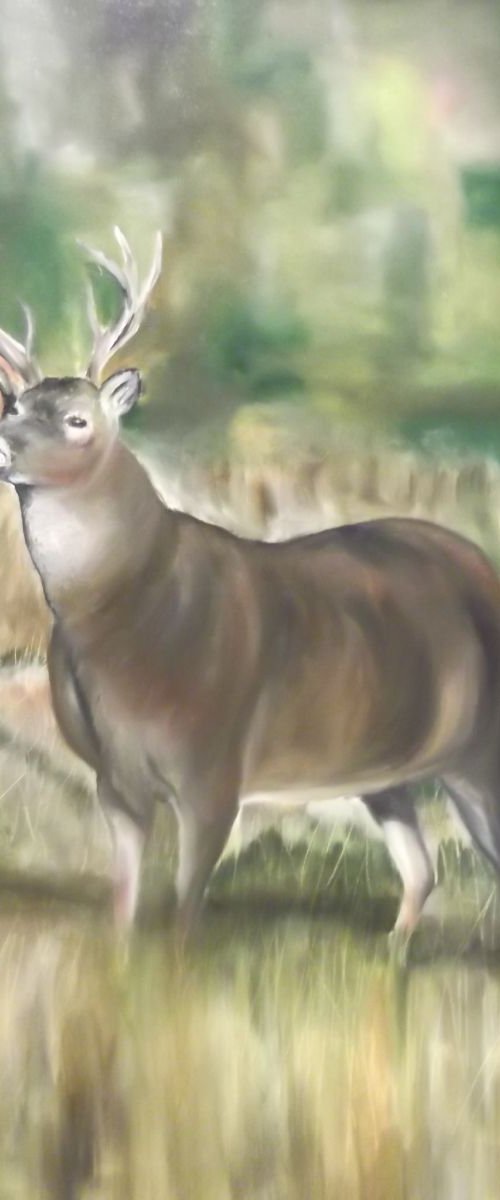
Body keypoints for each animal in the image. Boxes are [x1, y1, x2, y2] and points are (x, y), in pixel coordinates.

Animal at [1, 229, 500, 953]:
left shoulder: (213, 763)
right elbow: (123, 907)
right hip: (388, 771)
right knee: (420, 869)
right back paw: (393, 955)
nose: (5, 446)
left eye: (76, 419)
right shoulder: (112, 778)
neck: (128, 622)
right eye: (13, 406)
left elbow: (185, 910)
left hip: (481, 750)